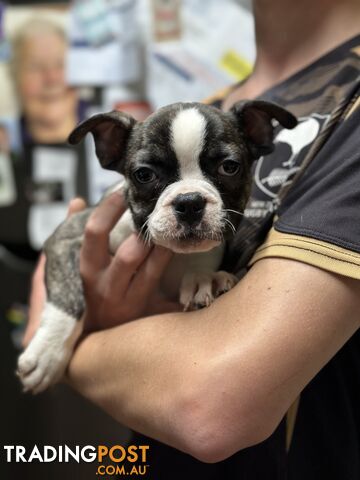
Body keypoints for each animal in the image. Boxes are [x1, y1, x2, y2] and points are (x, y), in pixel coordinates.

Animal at [16, 99, 296, 392]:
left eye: (229, 167)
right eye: (144, 174)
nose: (189, 201)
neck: (174, 254)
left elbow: (204, 259)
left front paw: (205, 278)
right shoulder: (67, 237)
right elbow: (68, 298)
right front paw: (47, 354)